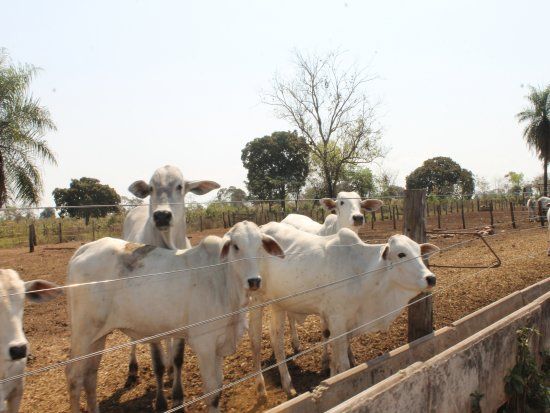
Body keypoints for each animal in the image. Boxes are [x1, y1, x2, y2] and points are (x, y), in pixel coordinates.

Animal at [66, 222, 284, 412]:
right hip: (84, 333)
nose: (254, 281)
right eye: (236, 247)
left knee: (90, 376)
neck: (224, 279)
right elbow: (212, 394)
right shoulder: (204, 344)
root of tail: (84, 249)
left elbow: (219, 388)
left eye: (260, 246)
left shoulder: (219, 345)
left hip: (98, 337)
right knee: (74, 378)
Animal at [124, 164, 221, 400]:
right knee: (132, 340)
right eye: (151, 188)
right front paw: (161, 400)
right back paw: (132, 370)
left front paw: (178, 393)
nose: (161, 216)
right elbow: (156, 363)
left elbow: (178, 358)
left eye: (179, 186)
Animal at [251, 222, 440, 400]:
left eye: (420, 252)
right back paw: (268, 388)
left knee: (276, 338)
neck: (364, 275)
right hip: (256, 301)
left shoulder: (346, 323)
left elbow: (335, 362)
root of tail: (263, 227)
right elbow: (343, 365)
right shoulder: (337, 320)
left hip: (279, 305)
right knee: (259, 341)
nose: (431, 278)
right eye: (401, 254)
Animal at [282, 192, 382, 352]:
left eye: (360, 203)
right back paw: (296, 343)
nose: (358, 217)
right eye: (341, 202)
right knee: (290, 317)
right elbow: (326, 331)